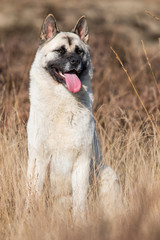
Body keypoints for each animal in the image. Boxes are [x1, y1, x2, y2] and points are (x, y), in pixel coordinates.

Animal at [26, 14, 119, 218]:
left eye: (79, 51)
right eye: (60, 51)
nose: (75, 61)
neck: (63, 101)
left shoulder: (82, 162)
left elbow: (80, 200)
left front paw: (80, 221)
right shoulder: (39, 160)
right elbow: (34, 194)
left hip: (108, 174)